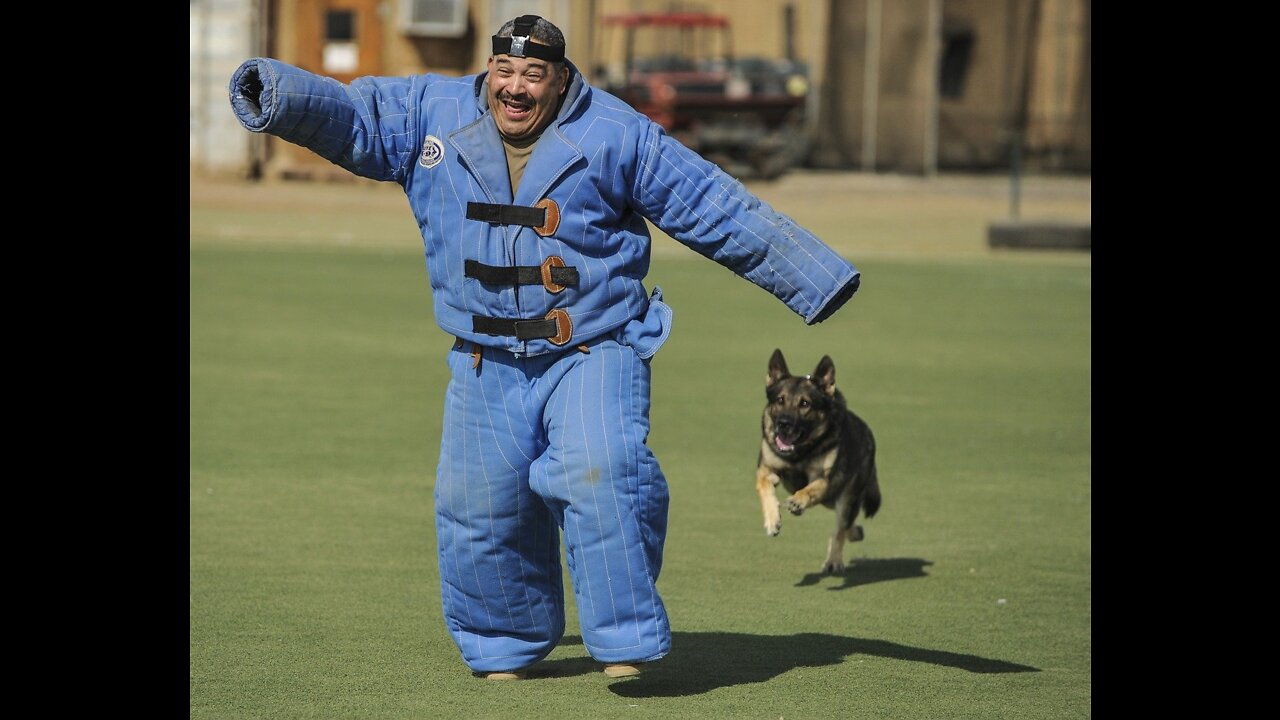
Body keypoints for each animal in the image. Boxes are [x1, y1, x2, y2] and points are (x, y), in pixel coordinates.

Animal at [757, 348, 880, 571]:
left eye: (805, 404)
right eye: (780, 400)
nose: (783, 424)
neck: (801, 452)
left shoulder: (825, 480)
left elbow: (809, 490)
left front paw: (797, 501)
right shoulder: (766, 469)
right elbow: (764, 487)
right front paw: (772, 520)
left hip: (845, 498)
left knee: (841, 528)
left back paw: (834, 561)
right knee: (846, 527)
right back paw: (855, 533)